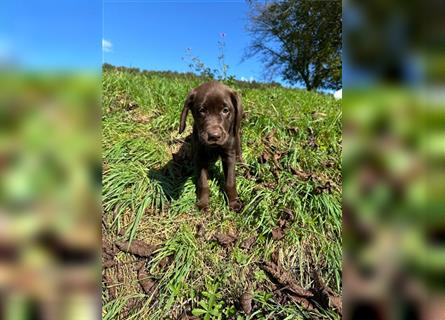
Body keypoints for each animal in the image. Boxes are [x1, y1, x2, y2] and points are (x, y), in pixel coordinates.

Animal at [178, 80, 243, 211]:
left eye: (225, 110)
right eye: (202, 110)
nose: (214, 136)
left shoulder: (228, 154)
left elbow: (230, 182)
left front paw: (233, 202)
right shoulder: (200, 156)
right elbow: (203, 183)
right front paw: (203, 203)